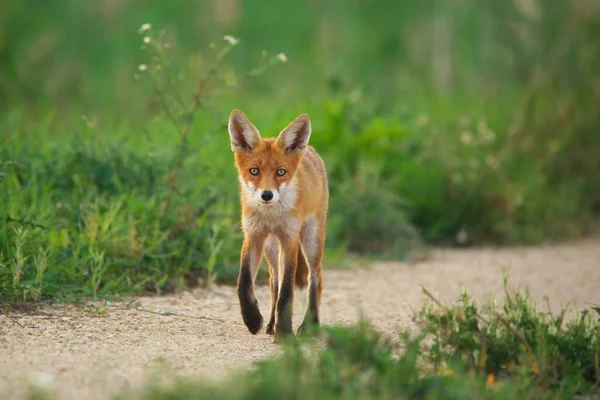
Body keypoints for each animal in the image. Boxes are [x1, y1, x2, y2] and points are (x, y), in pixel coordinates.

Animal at [227, 110, 328, 344]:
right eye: (254, 171)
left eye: (281, 172)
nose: (267, 195)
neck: (270, 217)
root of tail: (311, 150)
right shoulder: (253, 236)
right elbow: (243, 283)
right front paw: (253, 320)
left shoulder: (289, 239)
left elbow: (288, 291)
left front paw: (284, 332)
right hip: (271, 248)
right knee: (275, 282)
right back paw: (272, 324)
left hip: (310, 240)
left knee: (315, 279)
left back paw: (310, 325)